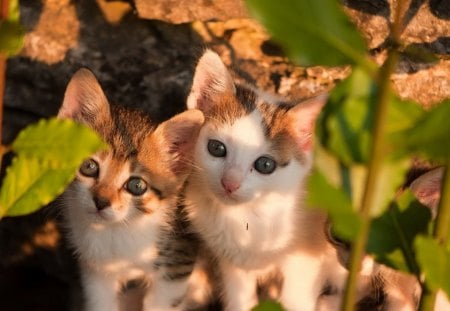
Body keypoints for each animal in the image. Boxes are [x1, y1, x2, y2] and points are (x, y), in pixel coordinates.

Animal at [57, 69, 204, 311]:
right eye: (89, 167)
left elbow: (160, 304)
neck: (116, 230)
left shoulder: (177, 264)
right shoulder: (96, 272)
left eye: (136, 186)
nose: (101, 201)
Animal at [181, 50, 332, 311]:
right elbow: (240, 298)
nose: (229, 183)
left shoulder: (307, 257)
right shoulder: (231, 261)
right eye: (216, 148)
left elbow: (296, 299)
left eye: (265, 165)